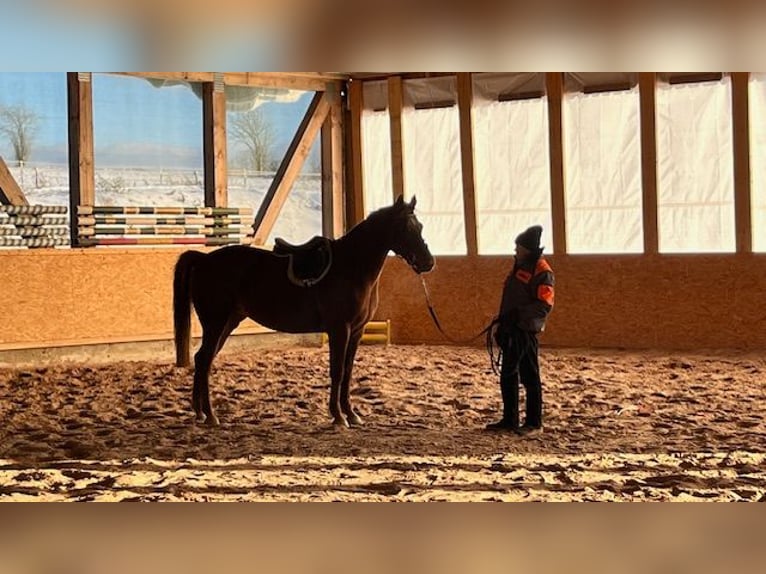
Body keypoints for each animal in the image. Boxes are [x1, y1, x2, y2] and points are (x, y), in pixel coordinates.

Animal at [173, 195, 435, 427]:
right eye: (405, 227)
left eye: (421, 226)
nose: (428, 262)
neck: (351, 267)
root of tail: (204, 260)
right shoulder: (340, 329)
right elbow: (337, 371)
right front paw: (338, 417)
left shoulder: (357, 331)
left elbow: (348, 372)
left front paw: (351, 414)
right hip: (216, 323)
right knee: (205, 360)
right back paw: (211, 415)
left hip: (228, 322)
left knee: (202, 360)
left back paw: (201, 413)